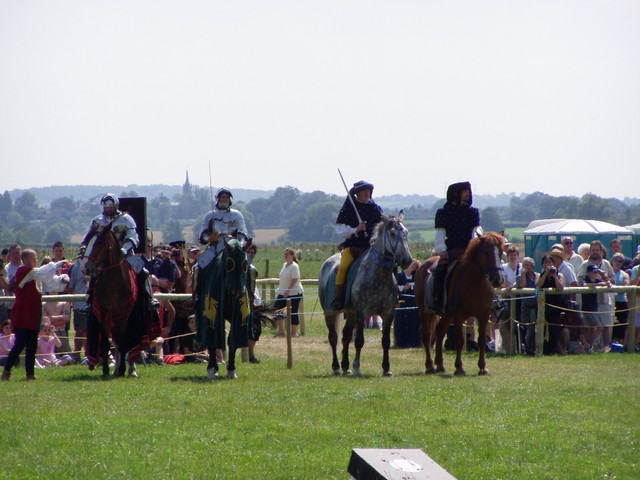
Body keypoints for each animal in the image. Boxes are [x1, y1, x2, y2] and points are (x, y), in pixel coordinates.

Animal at [83, 225, 149, 378]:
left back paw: (131, 370)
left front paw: (123, 370)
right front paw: (107, 371)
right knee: (116, 343)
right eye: (90, 242)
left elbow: (123, 342)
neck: (114, 283)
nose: (88, 268)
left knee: (126, 345)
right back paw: (116, 370)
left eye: (100, 243)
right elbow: (107, 343)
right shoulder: (103, 314)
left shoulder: (123, 316)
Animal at [192, 238, 250, 380]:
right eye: (230, 263)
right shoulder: (212, 318)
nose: (237, 292)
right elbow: (212, 342)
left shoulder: (238, 317)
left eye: (245, 264)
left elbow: (232, 341)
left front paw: (231, 370)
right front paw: (212, 369)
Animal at [316, 216, 416, 376]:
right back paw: (336, 367)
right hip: (330, 312)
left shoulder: (388, 313)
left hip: (350, 314)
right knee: (333, 337)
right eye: (392, 234)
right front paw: (357, 367)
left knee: (345, 336)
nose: (407, 261)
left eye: (406, 232)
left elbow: (385, 341)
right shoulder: (361, 313)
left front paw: (386, 368)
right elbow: (359, 341)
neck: (378, 275)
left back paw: (346, 367)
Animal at [418, 232, 508, 376]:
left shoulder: (483, 315)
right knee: (426, 335)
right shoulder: (459, 316)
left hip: (447, 316)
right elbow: (460, 340)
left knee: (439, 332)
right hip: (424, 311)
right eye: (487, 252)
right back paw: (430, 366)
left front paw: (483, 367)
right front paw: (459, 368)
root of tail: (423, 265)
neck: (476, 283)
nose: (498, 280)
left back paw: (440, 365)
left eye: (500, 251)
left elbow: (482, 340)